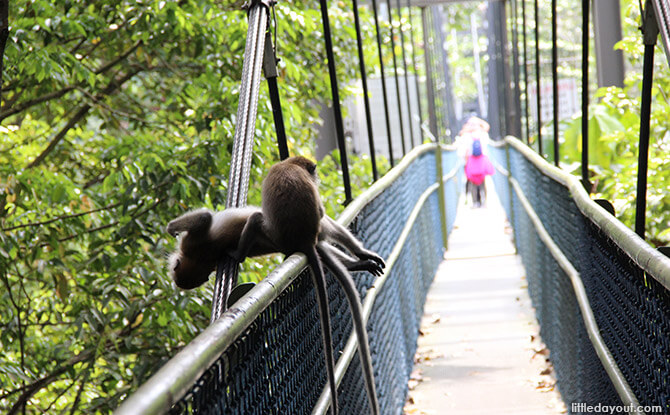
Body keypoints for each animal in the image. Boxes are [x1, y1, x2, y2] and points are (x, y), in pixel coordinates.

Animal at [230, 157, 380, 415]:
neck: (289, 164)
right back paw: (358, 261)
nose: (316, 178)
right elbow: (322, 214)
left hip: (277, 237)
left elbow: (321, 213)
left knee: (258, 218)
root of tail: (304, 240)